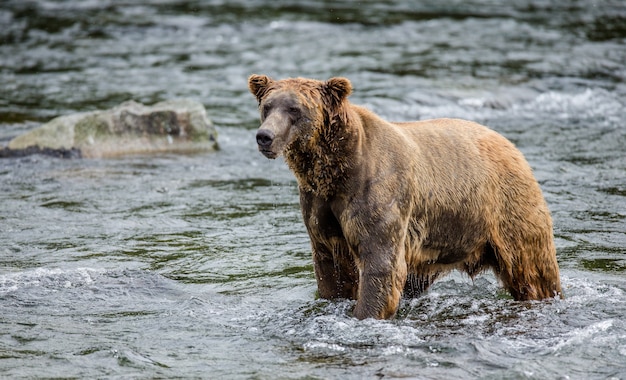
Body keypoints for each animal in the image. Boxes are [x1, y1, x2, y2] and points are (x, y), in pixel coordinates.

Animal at [247, 74, 560, 320]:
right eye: (267, 106)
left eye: (294, 108)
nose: (264, 136)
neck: (335, 171)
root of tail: (510, 145)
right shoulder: (319, 205)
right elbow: (332, 268)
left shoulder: (376, 193)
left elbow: (380, 265)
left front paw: (364, 313)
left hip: (507, 208)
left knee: (532, 270)